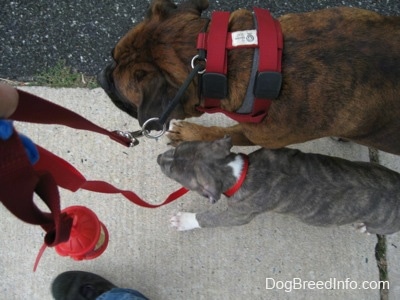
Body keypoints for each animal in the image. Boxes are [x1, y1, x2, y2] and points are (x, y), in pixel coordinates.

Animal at [97, 0, 400, 155]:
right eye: (112, 55)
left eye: (118, 89)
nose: (103, 75)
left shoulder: (260, 135)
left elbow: (225, 133)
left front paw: (190, 134)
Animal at [157, 137, 400, 234]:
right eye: (176, 149)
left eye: (174, 173)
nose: (159, 158)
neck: (238, 170)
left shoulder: (240, 213)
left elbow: (210, 218)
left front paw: (185, 220)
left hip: (385, 225)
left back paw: (364, 228)